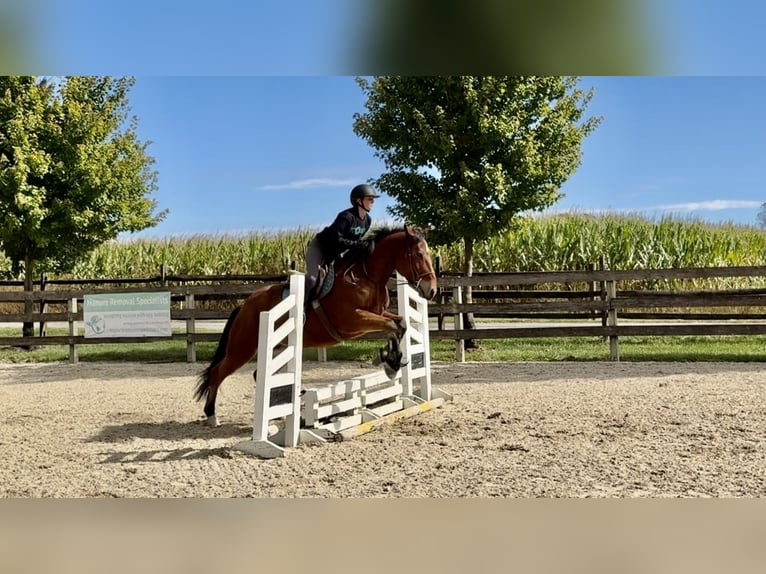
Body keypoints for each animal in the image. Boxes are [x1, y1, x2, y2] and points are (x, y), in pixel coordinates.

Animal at [194, 225, 437, 426]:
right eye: (418, 255)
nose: (432, 290)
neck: (367, 276)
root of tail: (244, 305)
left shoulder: (375, 315)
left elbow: (399, 323)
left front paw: (390, 358)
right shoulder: (352, 320)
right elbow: (390, 326)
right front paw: (390, 362)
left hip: (279, 346)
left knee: (256, 374)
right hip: (243, 348)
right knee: (217, 372)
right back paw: (211, 415)